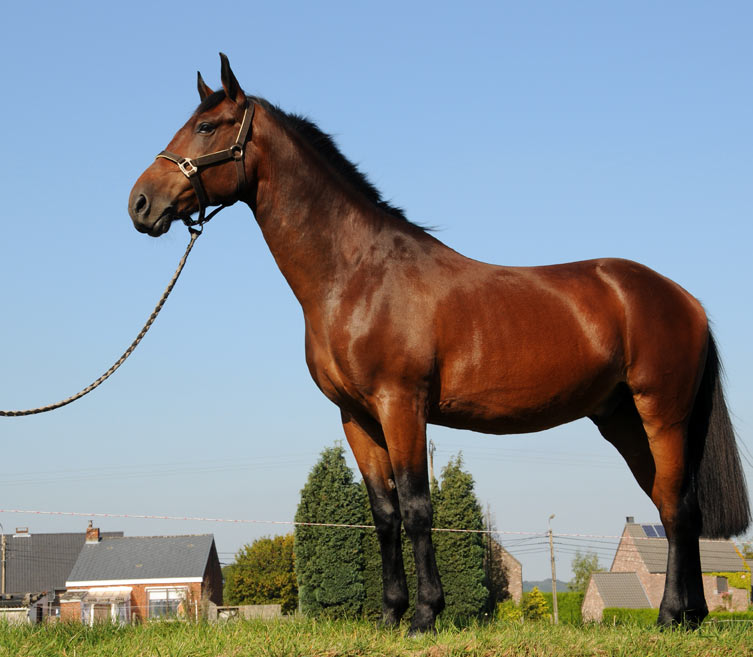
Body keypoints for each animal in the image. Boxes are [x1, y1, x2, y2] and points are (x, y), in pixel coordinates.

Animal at [128, 54, 749, 632]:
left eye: (208, 127)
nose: (139, 203)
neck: (357, 274)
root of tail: (685, 300)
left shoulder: (402, 403)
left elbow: (417, 508)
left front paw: (426, 614)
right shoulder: (356, 416)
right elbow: (383, 513)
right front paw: (390, 615)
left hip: (661, 414)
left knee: (676, 508)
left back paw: (670, 616)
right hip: (622, 419)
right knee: (675, 504)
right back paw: (691, 615)